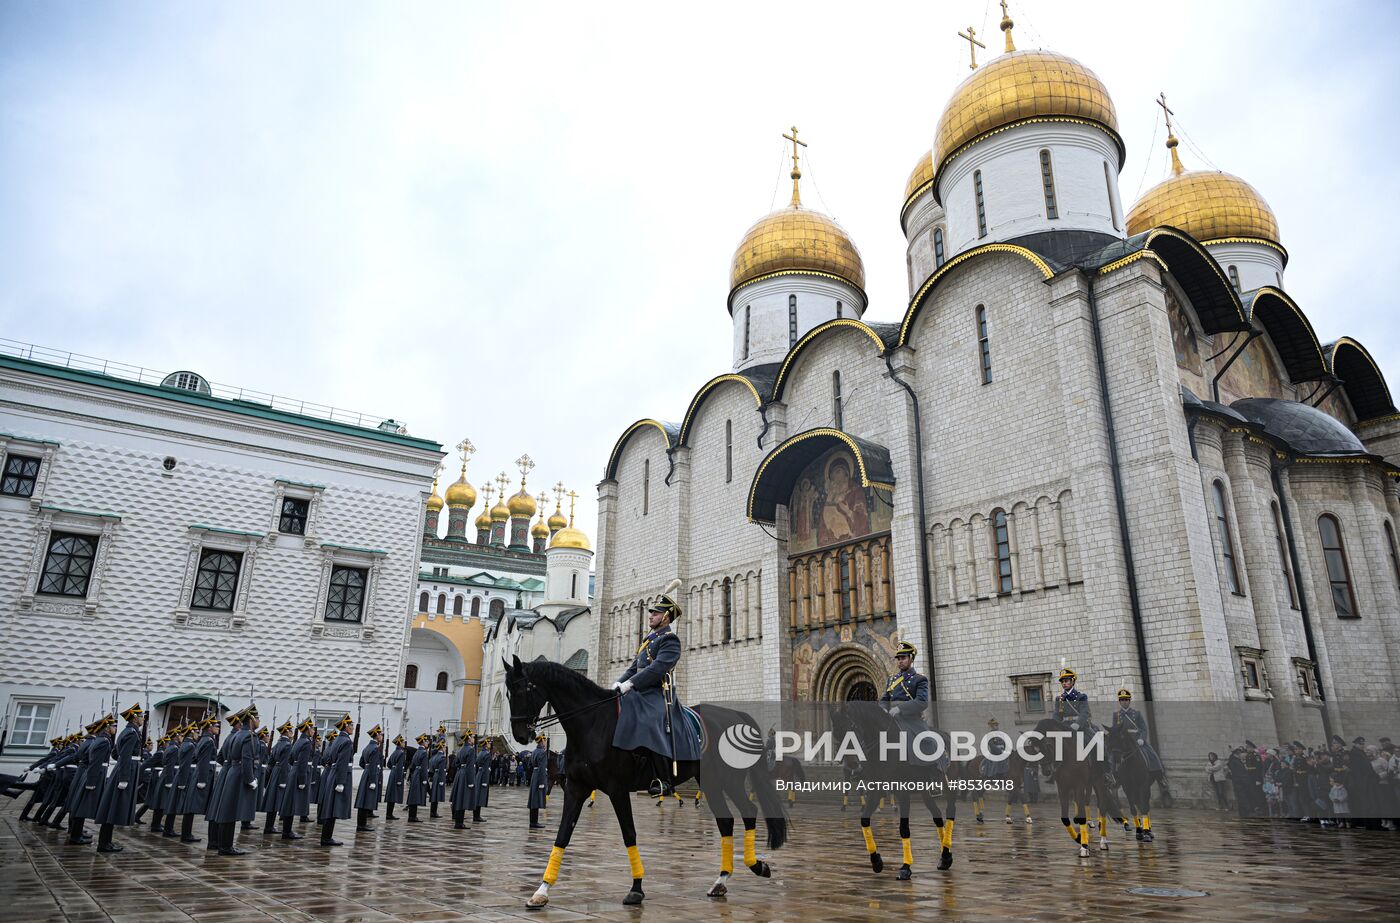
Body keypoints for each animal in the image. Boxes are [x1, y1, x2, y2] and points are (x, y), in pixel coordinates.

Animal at [504, 658, 789, 907]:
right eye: (507, 693)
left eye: (523, 689)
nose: (520, 735)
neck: (594, 723)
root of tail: (738, 715)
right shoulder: (576, 789)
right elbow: (562, 836)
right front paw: (541, 891)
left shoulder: (617, 789)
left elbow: (629, 834)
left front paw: (636, 888)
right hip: (710, 781)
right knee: (726, 822)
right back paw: (721, 881)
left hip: (728, 779)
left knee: (747, 813)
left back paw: (757, 866)